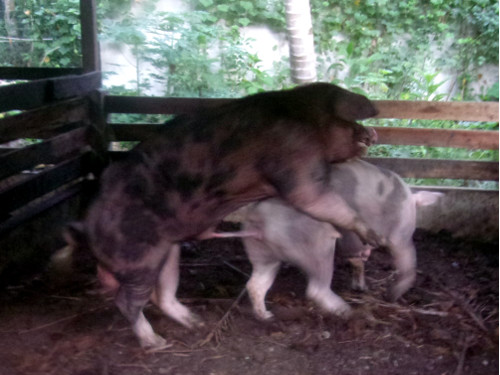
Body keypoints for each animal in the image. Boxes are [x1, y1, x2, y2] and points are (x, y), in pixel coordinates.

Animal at [67, 83, 378, 350]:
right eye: (353, 121)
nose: (373, 134)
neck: (311, 120)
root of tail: (85, 225)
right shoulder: (297, 164)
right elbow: (315, 199)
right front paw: (373, 236)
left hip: (167, 249)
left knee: (162, 294)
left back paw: (197, 323)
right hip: (138, 258)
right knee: (127, 301)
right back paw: (155, 343)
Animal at [227, 160, 442, 322]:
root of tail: (259, 226)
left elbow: (357, 261)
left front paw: (361, 288)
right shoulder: (400, 235)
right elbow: (408, 262)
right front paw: (392, 296)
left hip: (262, 253)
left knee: (255, 284)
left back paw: (267, 316)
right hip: (317, 246)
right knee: (315, 289)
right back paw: (347, 311)